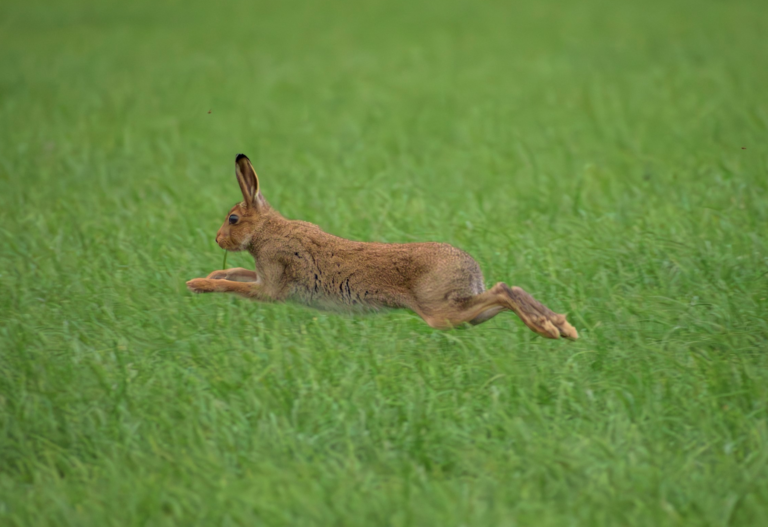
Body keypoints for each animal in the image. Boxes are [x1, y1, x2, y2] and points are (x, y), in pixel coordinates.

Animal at [186, 154, 578, 340]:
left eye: (233, 219)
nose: (218, 239)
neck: (268, 230)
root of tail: (471, 268)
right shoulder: (263, 274)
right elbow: (237, 272)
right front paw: (210, 274)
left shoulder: (272, 284)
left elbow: (237, 286)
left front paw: (197, 285)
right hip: (460, 311)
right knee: (508, 290)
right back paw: (562, 327)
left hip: (439, 312)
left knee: (501, 291)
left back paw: (547, 330)